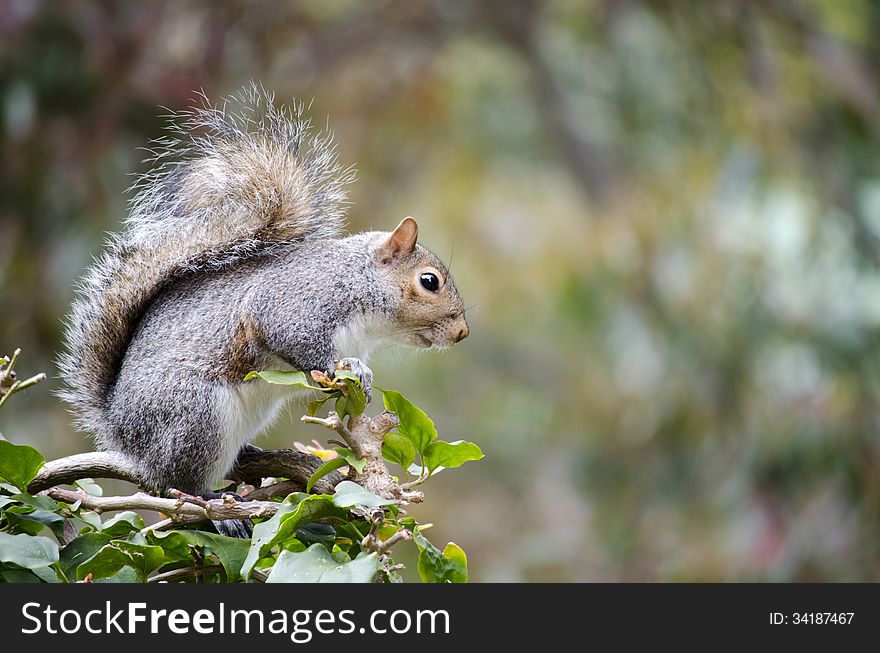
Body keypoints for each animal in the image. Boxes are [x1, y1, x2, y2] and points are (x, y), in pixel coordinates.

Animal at [56, 86, 468, 502]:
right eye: (429, 281)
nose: (462, 332)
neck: (359, 285)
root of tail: (121, 432)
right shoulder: (297, 301)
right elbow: (294, 340)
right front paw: (348, 369)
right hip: (195, 414)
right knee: (170, 479)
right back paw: (206, 500)